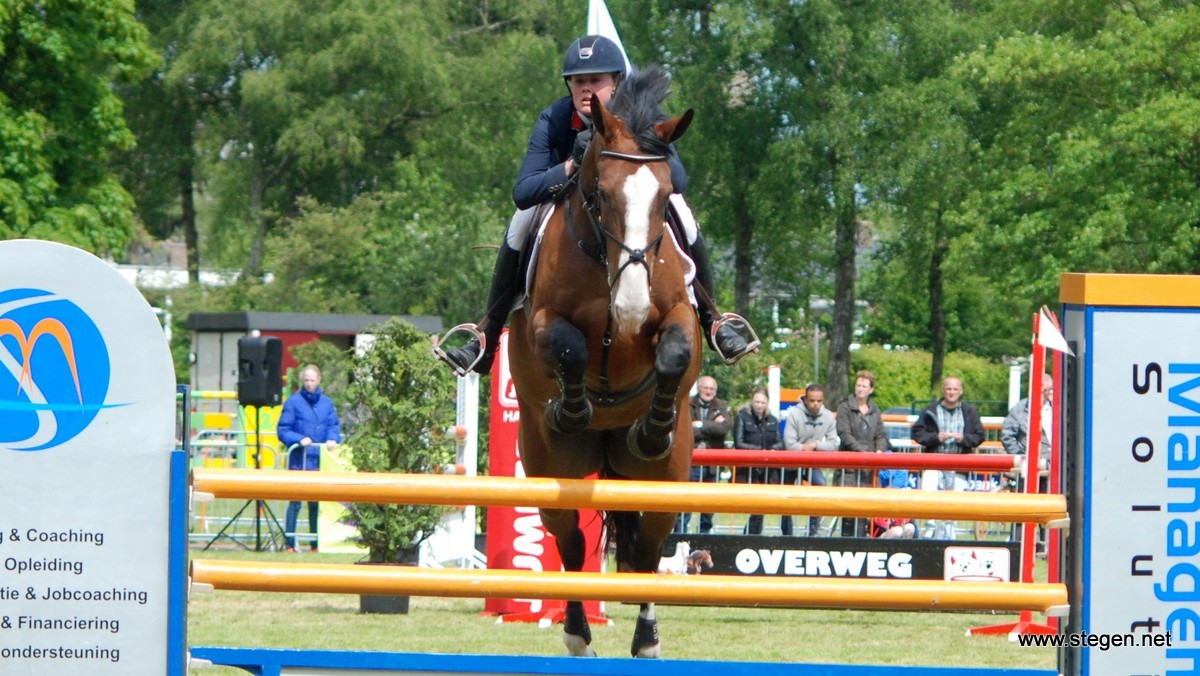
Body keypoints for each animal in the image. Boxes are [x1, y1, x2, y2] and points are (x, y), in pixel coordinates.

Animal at [508, 70, 700, 662]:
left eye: (664, 198)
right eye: (600, 195)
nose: (632, 307)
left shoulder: (679, 315)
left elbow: (676, 352)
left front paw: (654, 425)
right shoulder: (542, 321)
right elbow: (569, 347)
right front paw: (572, 409)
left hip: (664, 477)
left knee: (650, 549)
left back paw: (646, 640)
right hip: (552, 469)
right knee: (570, 544)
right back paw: (577, 634)